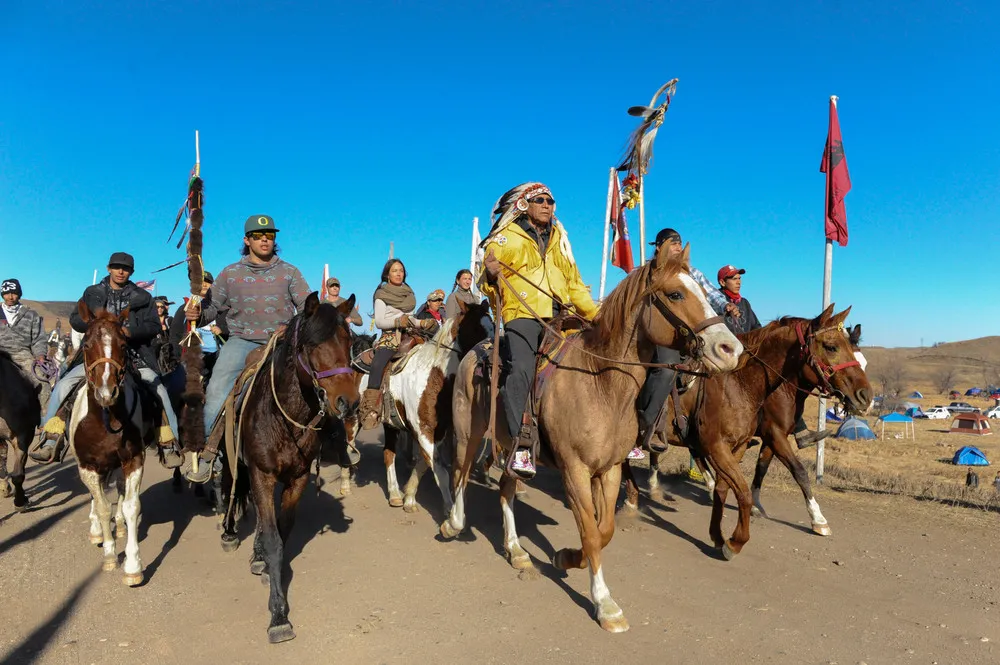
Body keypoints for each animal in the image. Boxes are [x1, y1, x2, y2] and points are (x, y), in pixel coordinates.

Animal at [67, 304, 158, 584]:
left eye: (123, 343)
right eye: (86, 344)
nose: (107, 393)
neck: (105, 418)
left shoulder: (134, 459)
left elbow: (130, 505)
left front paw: (133, 566)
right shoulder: (87, 465)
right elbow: (103, 507)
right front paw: (109, 555)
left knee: (118, 489)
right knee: (96, 498)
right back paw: (98, 530)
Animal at [221, 294, 362, 640]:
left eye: (349, 341)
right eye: (312, 345)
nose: (348, 402)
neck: (283, 417)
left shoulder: (296, 479)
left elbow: (281, 534)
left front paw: (271, 572)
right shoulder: (261, 475)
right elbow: (274, 540)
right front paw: (279, 615)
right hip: (234, 463)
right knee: (231, 488)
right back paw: (229, 534)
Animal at [440, 246, 744, 632]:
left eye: (705, 292)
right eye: (676, 294)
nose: (730, 349)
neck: (600, 384)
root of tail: (474, 352)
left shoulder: (609, 470)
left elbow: (603, 531)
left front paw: (564, 557)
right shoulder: (575, 471)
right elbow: (589, 530)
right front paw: (605, 603)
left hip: (511, 448)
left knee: (507, 489)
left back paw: (516, 550)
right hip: (469, 433)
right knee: (460, 475)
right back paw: (452, 523)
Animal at [624, 306, 868, 556]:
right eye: (831, 346)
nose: (864, 396)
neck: (740, 382)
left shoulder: (759, 439)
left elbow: (756, 471)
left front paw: (748, 513)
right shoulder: (769, 435)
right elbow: (796, 472)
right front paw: (817, 519)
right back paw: (639, 494)